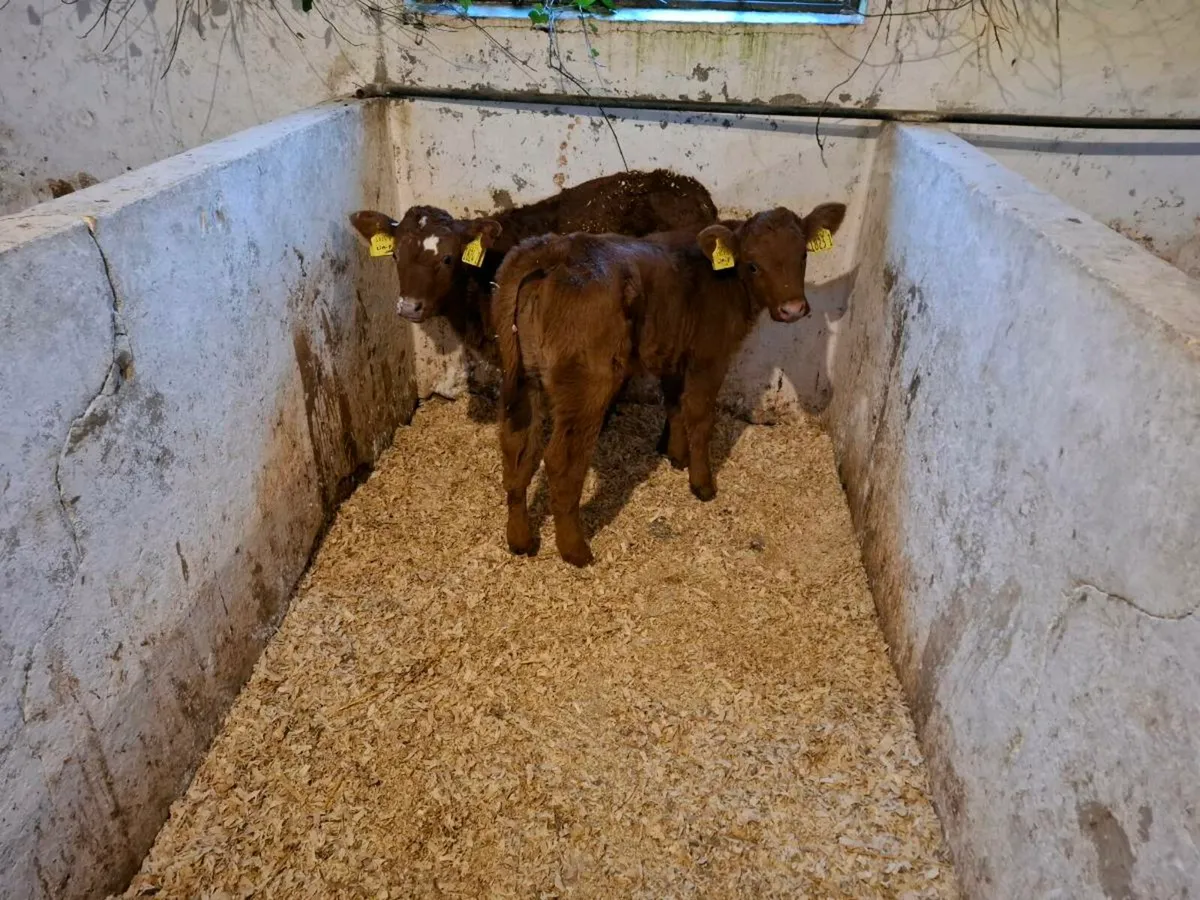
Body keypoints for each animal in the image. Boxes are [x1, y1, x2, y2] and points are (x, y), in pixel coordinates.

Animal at [491, 203, 847, 567]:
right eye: (753, 264)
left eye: (803, 255)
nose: (793, 309)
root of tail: (555, 248)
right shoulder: (710, 356)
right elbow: (700, 417)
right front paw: (702, 484)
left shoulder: (674, 348)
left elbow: (675, 403)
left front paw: (675, 455)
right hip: (586, 387)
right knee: (561, 462)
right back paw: (575, 550)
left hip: (521, 379)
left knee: (517, 450)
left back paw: (520, 539)